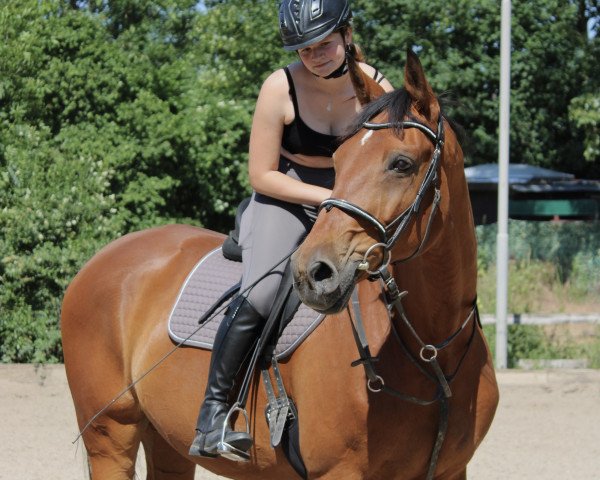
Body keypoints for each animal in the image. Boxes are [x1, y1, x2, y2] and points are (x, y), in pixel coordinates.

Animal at [61, 49, 496, 480]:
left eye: (402, 163)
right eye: (339, 159)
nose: (313, 272)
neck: (430, 353)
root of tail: (100, 260)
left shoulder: (452, 471)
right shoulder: (339, 472)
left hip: (167, 440)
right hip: (110, 436)